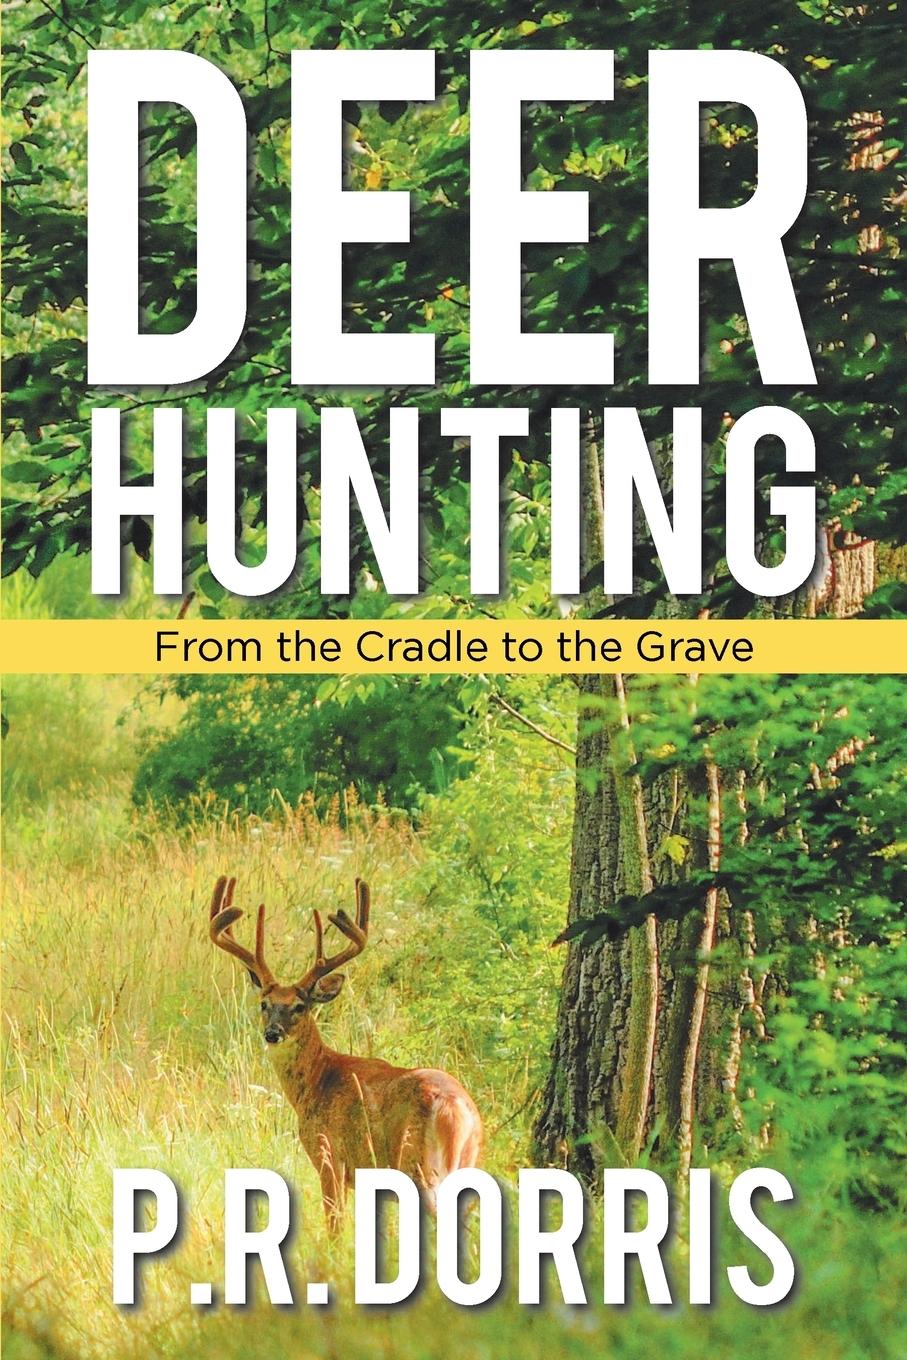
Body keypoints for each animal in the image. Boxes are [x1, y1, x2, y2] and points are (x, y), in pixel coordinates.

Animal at [208, 875, 482, 1230]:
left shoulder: (329, 1156)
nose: (272, 1034)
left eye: (299, 1006)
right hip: (469, 1160)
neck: (317, 1081)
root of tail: (454, 1108)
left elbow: (334, 1225)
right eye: (264, 1004)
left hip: (418, 1165)